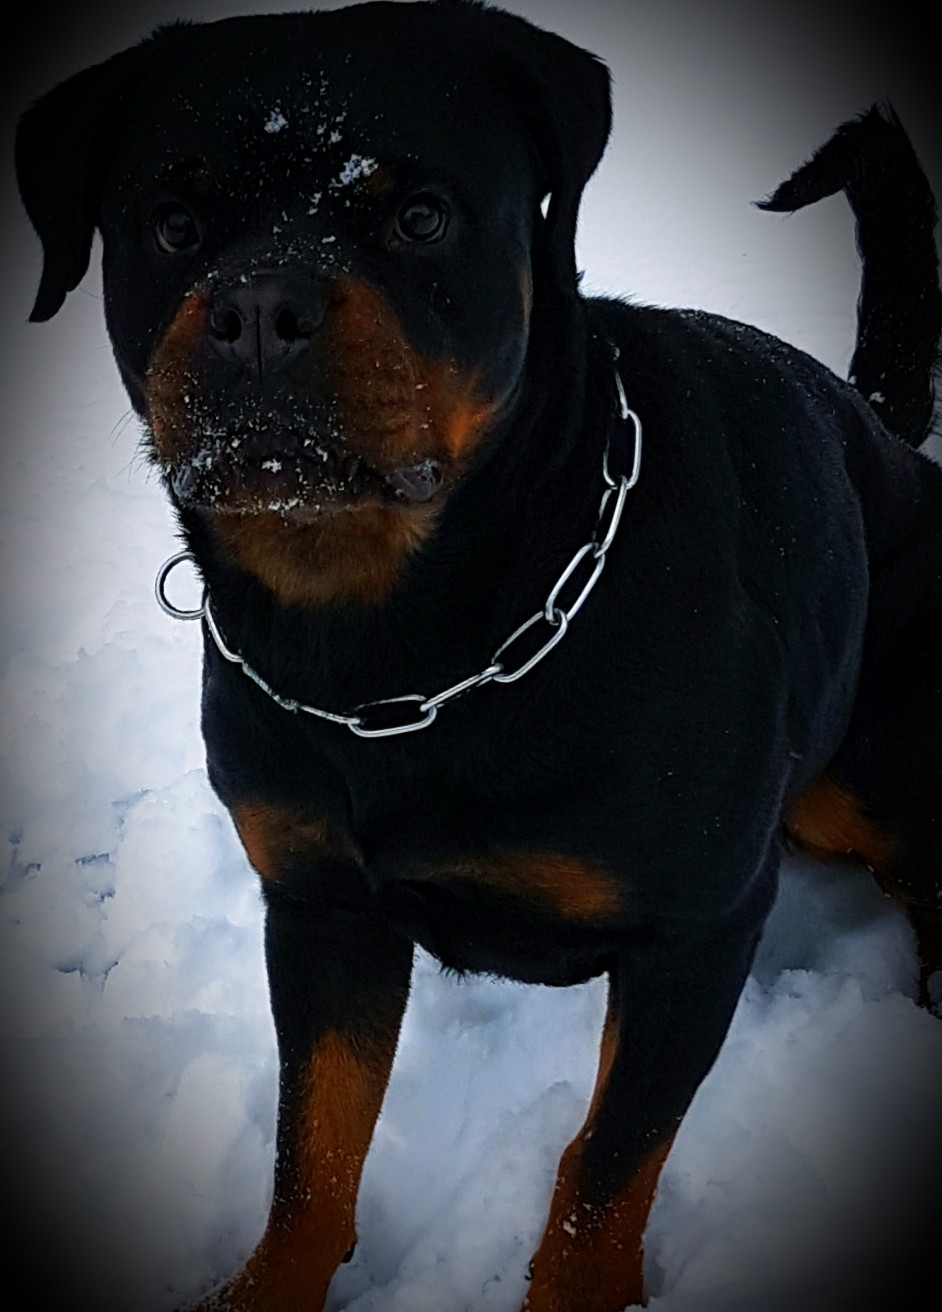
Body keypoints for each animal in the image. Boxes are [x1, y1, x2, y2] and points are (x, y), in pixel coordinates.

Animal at [14, 2, 942, 1312]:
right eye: (173, 225)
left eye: (419, 216)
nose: (259, 309)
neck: (395, 649)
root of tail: (887, 437)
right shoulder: (321, 904)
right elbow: (313, 1145)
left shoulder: (698, 928)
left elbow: (603, 1164)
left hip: (878, 762)